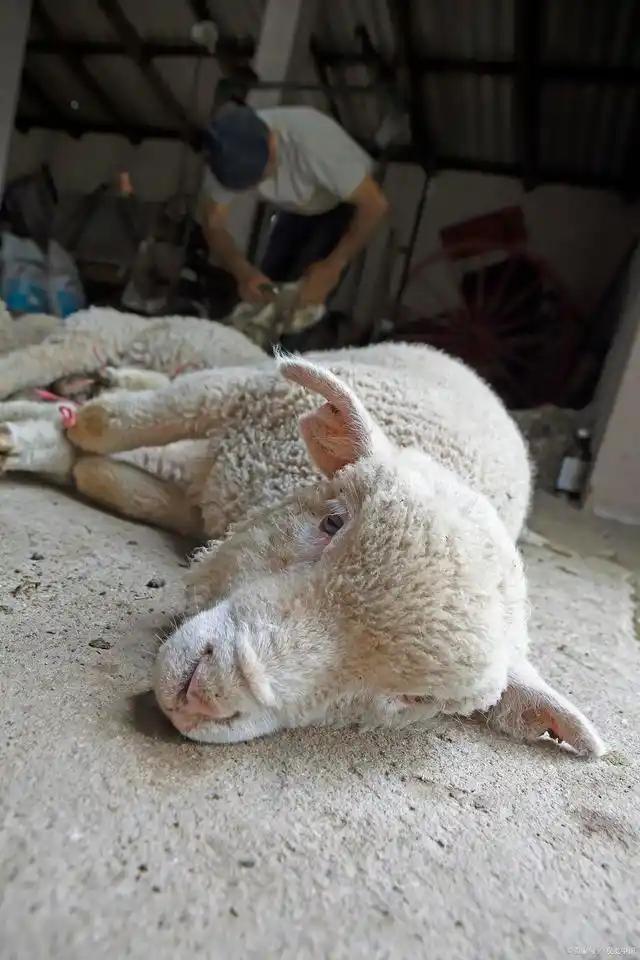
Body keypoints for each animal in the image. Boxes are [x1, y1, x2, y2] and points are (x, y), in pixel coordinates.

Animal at [0, 309, 605, 758]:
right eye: (331, 521)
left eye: (414, 699)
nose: (203, 695)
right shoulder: (240, 394)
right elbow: (110, 423)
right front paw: (50, 428)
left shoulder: (203, 495)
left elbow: (110, 472)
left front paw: (52, 448)